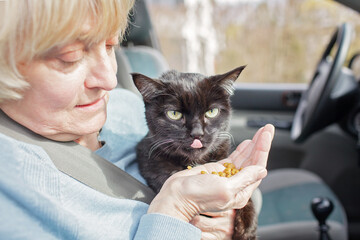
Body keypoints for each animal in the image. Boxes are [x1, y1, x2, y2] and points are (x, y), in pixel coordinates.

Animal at [132, 66, 256, 240]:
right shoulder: (148, 158)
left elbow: (247, 201)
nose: (197, 133)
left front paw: (247, 227)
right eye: (174, 114)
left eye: (211, 112)